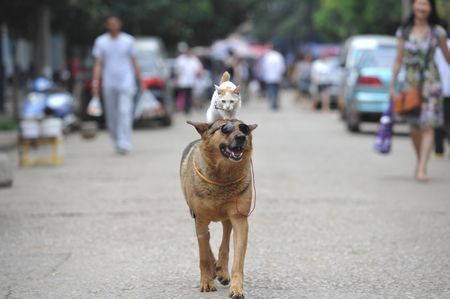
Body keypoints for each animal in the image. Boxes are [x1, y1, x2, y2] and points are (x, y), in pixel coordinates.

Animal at [179, 118, 256, 298]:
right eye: (225, 129)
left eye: (244, 128)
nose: (241, 137)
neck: (222, 177)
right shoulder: (200, 219)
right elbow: (203, 255)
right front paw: (206, 281)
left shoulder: (240, 220)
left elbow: (238, 259)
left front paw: (236, 287)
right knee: (207, 245)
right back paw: (214, 268)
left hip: (227, 218)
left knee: (225, 241)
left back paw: (222, 270)